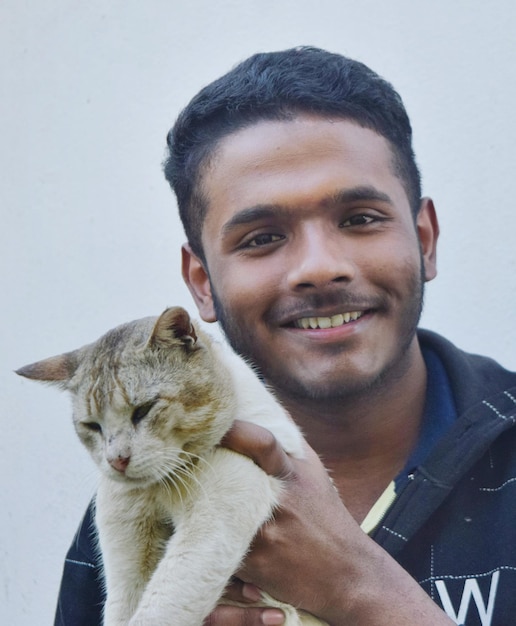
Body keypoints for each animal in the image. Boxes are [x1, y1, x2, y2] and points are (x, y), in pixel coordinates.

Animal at [17, 304, 326, 620]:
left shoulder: (216, 514)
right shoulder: (126, 537)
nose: (116, 460)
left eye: (143, 410)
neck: (162, 486)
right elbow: (124, 608)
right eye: (92, 426)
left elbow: (162, 605)